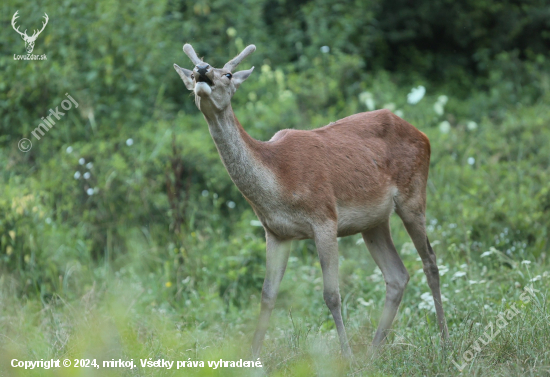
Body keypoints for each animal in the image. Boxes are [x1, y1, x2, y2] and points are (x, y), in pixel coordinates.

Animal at [175, 42, 450, 356]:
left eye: (229, 74)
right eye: (192, 74)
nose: (202, 69)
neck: (279, 181)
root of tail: (424, 135)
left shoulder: (325, 217)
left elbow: (331, 294)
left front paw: (346, 356)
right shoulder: (276, 232)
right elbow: (267, 295)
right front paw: (253, 356)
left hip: (413, 194)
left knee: (430, 261)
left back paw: (443, 340)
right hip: (374, 221)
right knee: (397, 275)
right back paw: (373, 349)